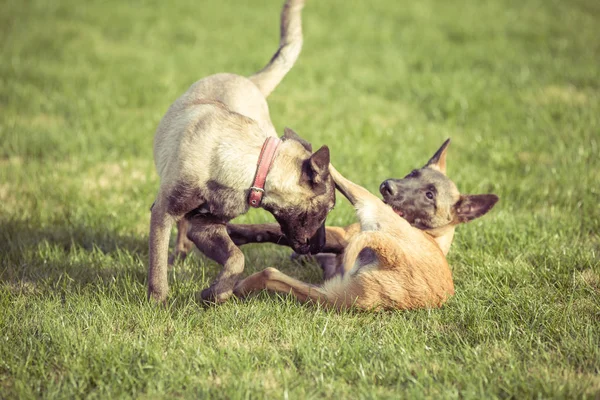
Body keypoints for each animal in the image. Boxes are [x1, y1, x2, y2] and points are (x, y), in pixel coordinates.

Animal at [147, 0, 336, 304]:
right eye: (328, 208)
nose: (321, 246)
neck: (254, 165)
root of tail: (250, 81)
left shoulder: (207, 224)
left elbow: (237, 259)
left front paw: (216, 292)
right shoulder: (164, 211)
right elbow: (157, 265)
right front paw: (158, 301)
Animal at [232, 141, 500, 312]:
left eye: (430, 195)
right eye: (412, 173)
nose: (387, 186)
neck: (434, 236)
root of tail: (395, 255)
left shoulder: (342, 235)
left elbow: (274, 229)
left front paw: (237, 233)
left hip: (366, 205)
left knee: (269, 273)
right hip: (333, 296)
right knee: (276, 278)